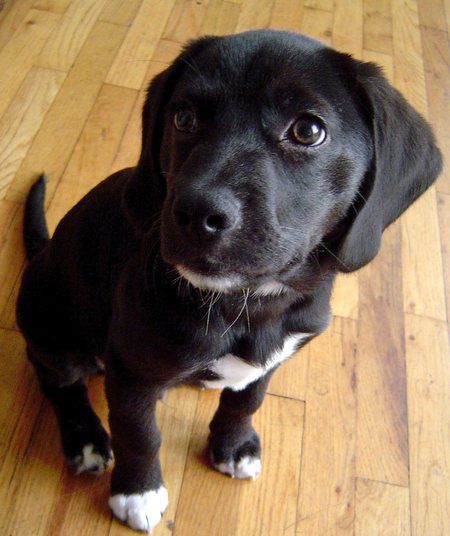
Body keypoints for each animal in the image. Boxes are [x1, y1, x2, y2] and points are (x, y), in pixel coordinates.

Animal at [15, 30, 442, 532]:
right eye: (183, 117)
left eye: (308, 130)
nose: (195, 214)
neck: (248, 306)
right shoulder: (131, 370)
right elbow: (139, 433)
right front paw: (137, 491)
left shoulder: (273, 358)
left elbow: (246, 399)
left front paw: (233, 446)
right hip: (50, 327)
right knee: (54, 377)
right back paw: (85, 438)